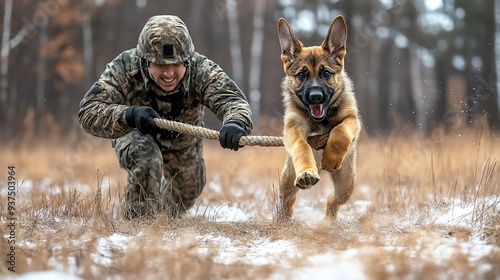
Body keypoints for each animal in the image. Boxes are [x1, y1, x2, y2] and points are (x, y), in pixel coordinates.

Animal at [278, 15, 360, 221]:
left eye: (326, 73)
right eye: (301, 75)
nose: (316, 96)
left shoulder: (352, 119)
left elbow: (340, 131)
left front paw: (331, 157)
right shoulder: (293, 128)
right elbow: (302, 146)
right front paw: (307, 171)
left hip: (346, 183)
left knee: (333, 199)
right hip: (288, 178)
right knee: (287, 199)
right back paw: (284, 219)